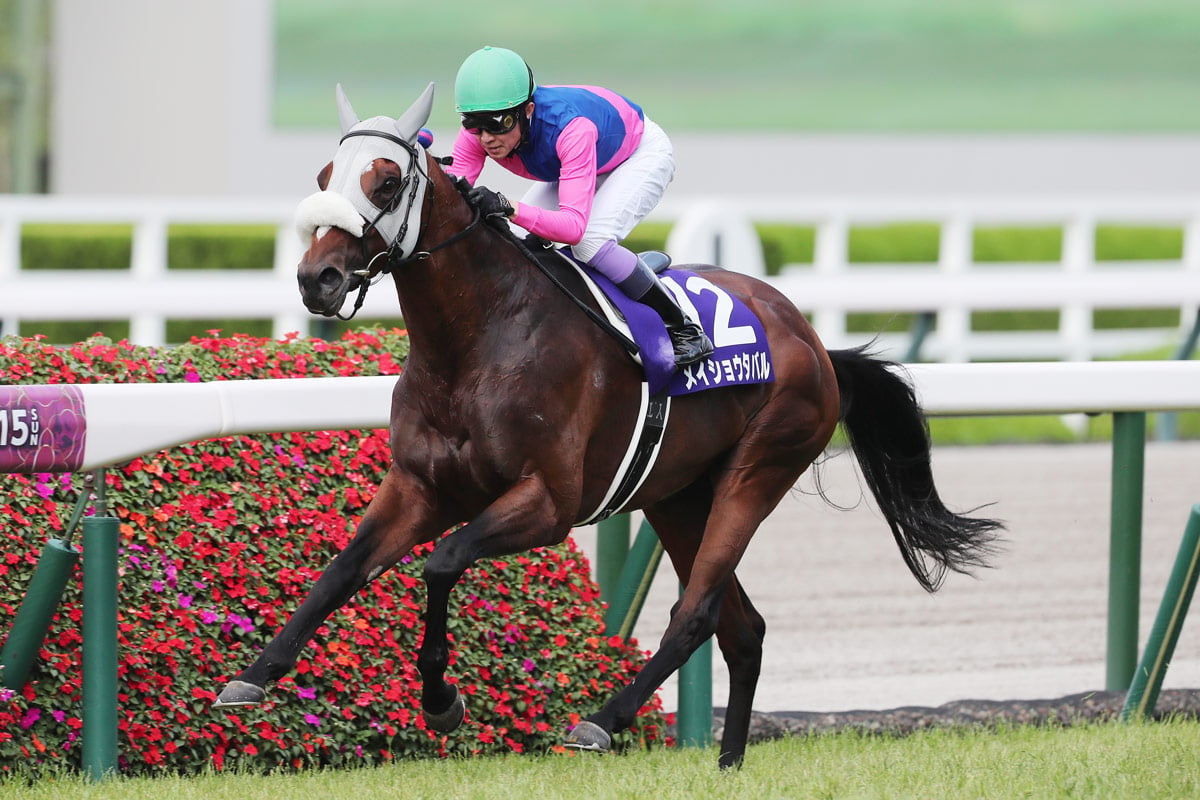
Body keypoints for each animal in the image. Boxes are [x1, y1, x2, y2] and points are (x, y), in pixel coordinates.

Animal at [214, 83, 1002, 769]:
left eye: (383, 182)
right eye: (324, 174)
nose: (316, 278)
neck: (476, 342)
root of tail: (810, 338)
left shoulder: (549, 503)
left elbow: (442, 562)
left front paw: (441, 701)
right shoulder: (419, 486)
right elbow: (343, 568)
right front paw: (254, 674)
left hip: (759, 468)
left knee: (697, 610)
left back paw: (602, 720)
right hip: (676, 496)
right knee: (742, 627)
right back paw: (728, 761)